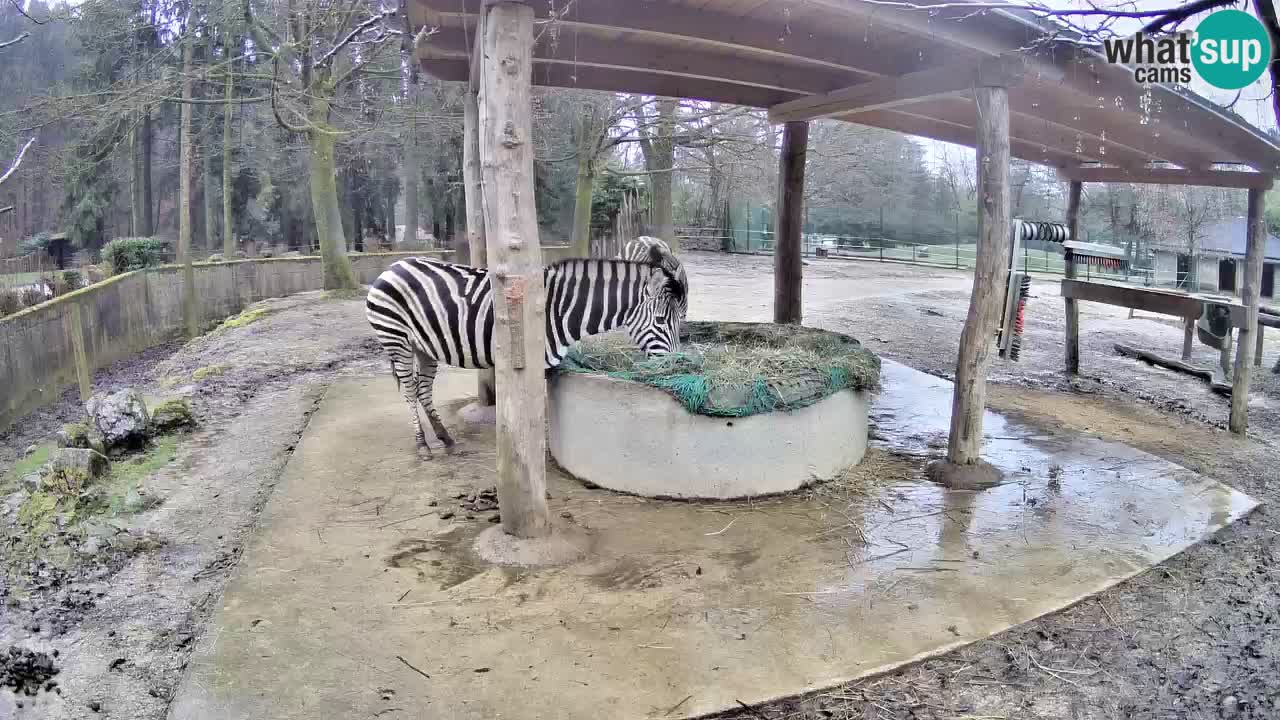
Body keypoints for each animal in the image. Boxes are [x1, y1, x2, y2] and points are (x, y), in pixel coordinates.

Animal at [366, 240, 691, 453]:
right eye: (661, 320)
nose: (675, 366)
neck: (559, 308)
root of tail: (393, 266)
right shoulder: (534, 365)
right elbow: (534, 416)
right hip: (396, 339)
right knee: (410, 391)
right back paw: (422, 444)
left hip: (424, 346)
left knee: (423, 390)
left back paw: (444, 437)